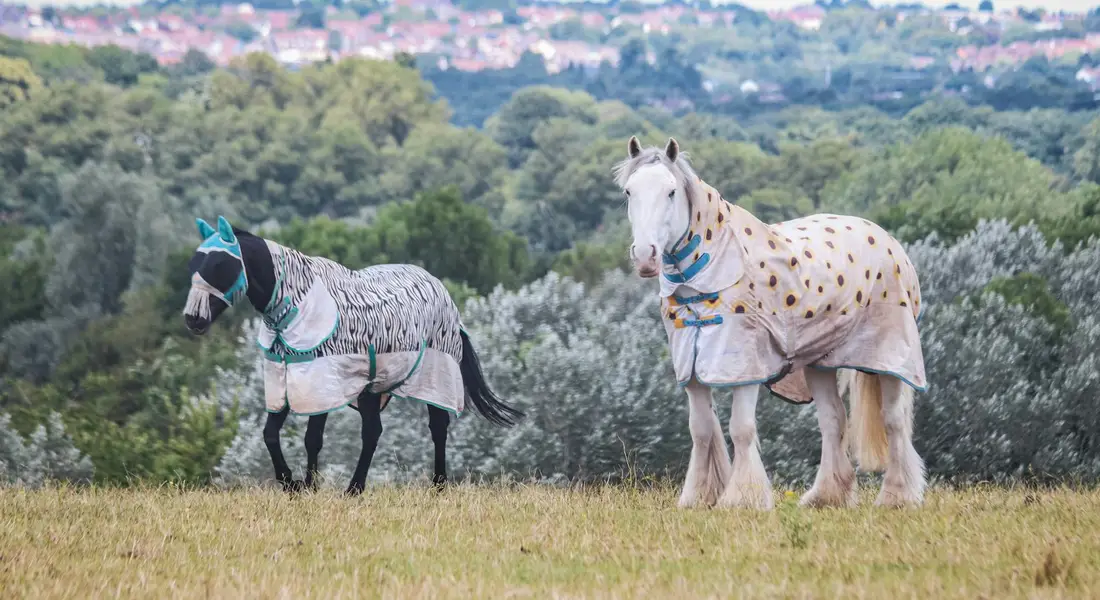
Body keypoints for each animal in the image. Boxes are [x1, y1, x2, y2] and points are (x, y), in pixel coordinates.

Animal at [182, 215, 524, 495]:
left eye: (219, 265)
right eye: (194, 263)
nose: (193, 318)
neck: (298, 306)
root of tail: (442, 291)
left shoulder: (321, 380)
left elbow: (312, 438)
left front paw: (306, 486)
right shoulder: (283, 378)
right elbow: (270, 435)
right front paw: (293, 483)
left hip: (434, 378)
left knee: (437, 428)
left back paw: (436, 486)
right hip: (371, 389)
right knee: (373, 433)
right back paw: (356, 488)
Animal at [614, 136, 927, 510]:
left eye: (671, 191)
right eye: (629, 191)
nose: (645, 256)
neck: (709, 272)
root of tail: (888, 240)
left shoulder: (747, 364)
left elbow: (741, 429)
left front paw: (741, 499)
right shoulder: (691, 368)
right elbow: (701, 430)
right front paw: (698, 497)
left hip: (888, 358)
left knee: (894, 421)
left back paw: (897, 496)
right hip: (820, 364)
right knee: (833, 420)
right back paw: (826, 496)